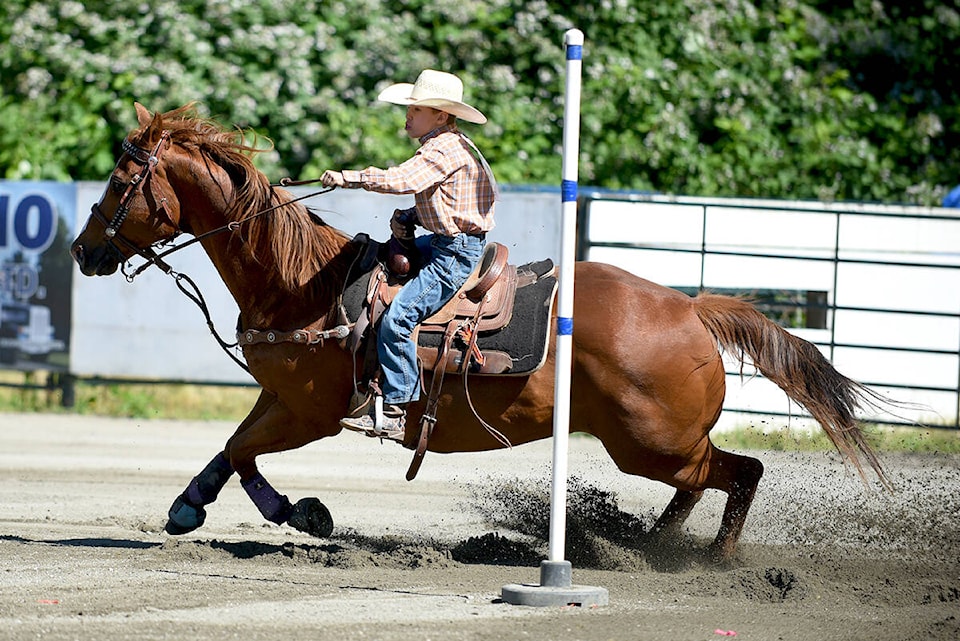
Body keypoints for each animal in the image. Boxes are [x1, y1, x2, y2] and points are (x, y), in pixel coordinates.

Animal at [71, 104, 888, 560]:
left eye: (118, 181)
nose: (82, 251)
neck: (303, 284)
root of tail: (689, 307)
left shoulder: (314, 412)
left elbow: (244, 451)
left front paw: (302, 512)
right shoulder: (285, 398)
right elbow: (230, 448)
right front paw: (194, 505)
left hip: (654, 444)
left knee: (742, 472)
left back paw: (705, 561)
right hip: (660, 448)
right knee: (706, 483)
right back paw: (650, 545)